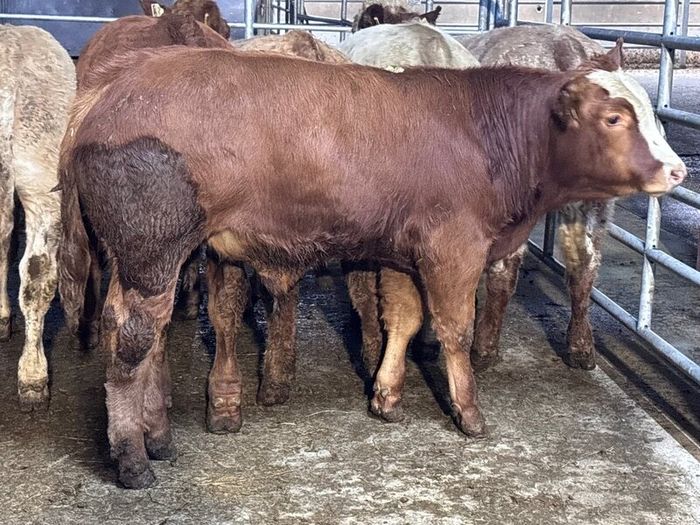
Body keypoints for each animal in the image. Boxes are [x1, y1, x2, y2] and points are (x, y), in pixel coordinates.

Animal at [58, 41, 685, 487]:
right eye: (613, 118)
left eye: (652, 116)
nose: (678, 170)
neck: (487, 134)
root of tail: (110, 90)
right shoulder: (453, 249)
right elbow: (453, 329)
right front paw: (469, 413)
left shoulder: (404, 253)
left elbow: (404, 320)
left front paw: (386, 397)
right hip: (152, 252)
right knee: (132, 340)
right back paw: (134, 460)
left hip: (148, 258)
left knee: (147, 336)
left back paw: (158, 437)